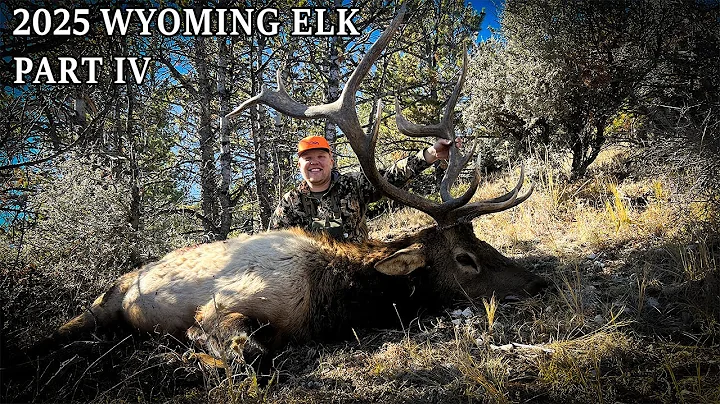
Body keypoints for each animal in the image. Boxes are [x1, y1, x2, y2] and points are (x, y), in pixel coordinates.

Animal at [28, 5, 546, 372]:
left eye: (482, 242)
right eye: (465, 258)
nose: (537, 281)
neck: (329, 299)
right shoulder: (223, 302)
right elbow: (243, 350)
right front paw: (191, 349)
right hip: (103, 304)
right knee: (56, 333)